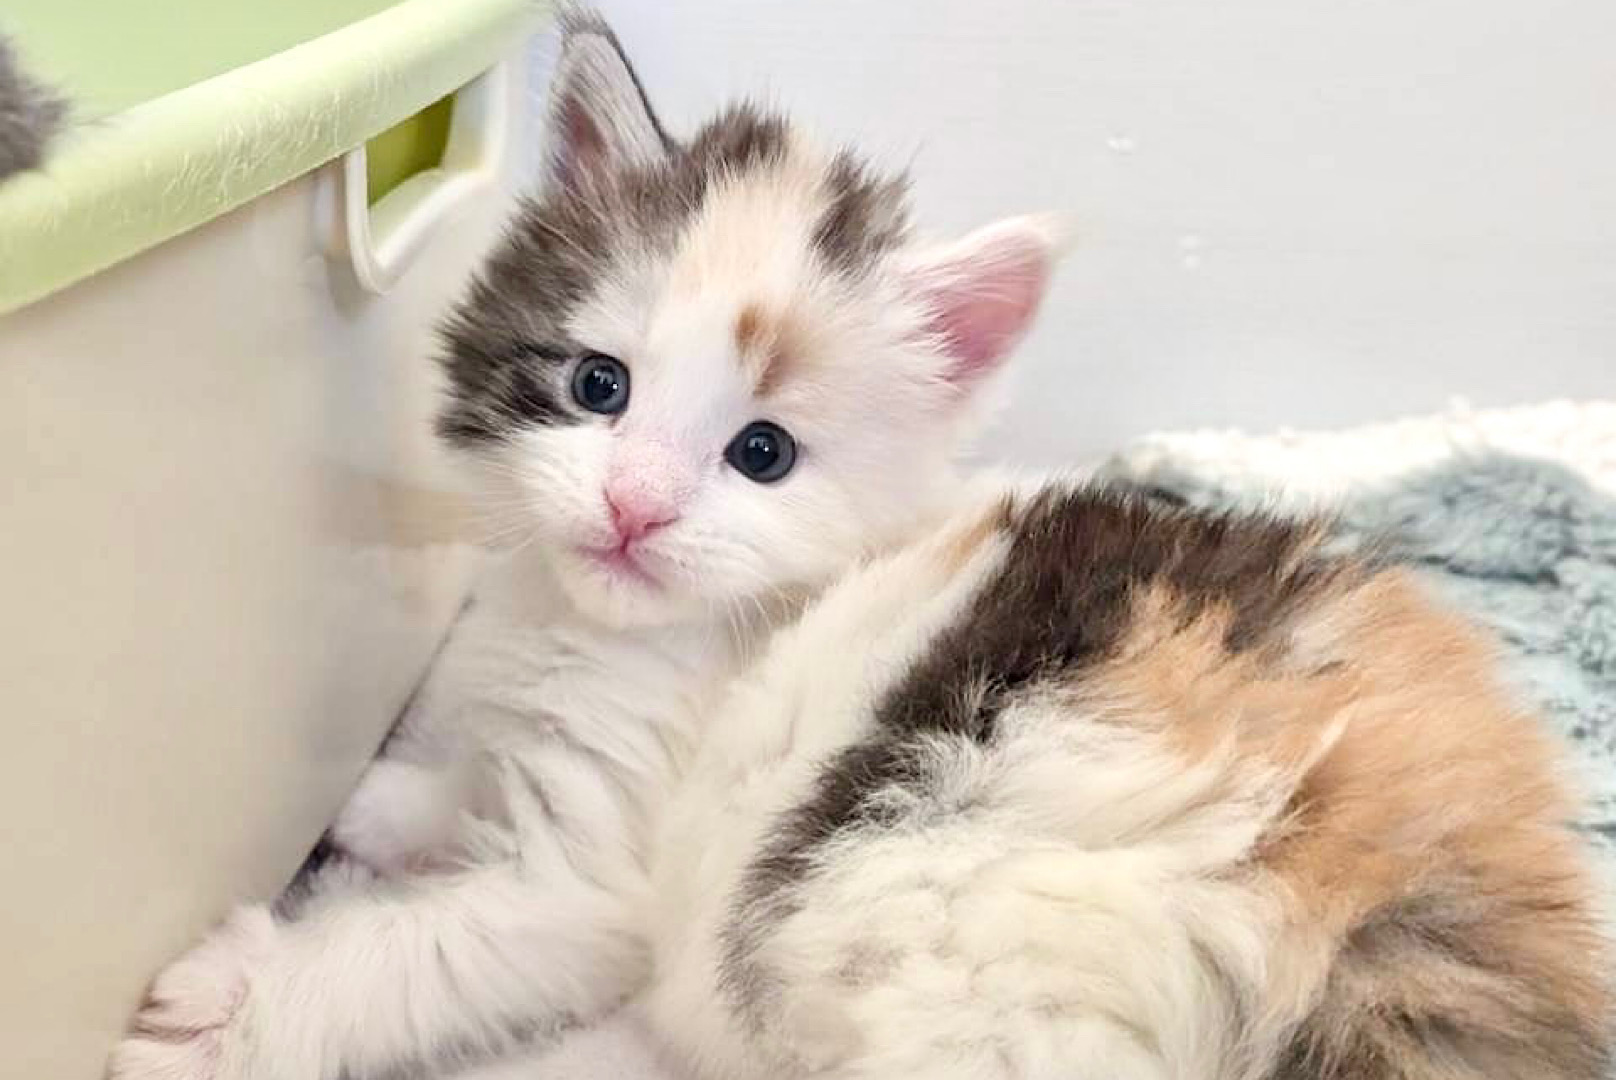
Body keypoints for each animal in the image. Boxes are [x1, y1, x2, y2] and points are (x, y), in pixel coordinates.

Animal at [106, 9, 1057, 1080]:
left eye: (762, 453)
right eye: (600, 385)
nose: (634, 507)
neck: (590, 631)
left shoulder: (587, 886)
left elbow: (409, 949)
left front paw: (228, 1010)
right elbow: (480, 777)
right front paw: (391, 802)